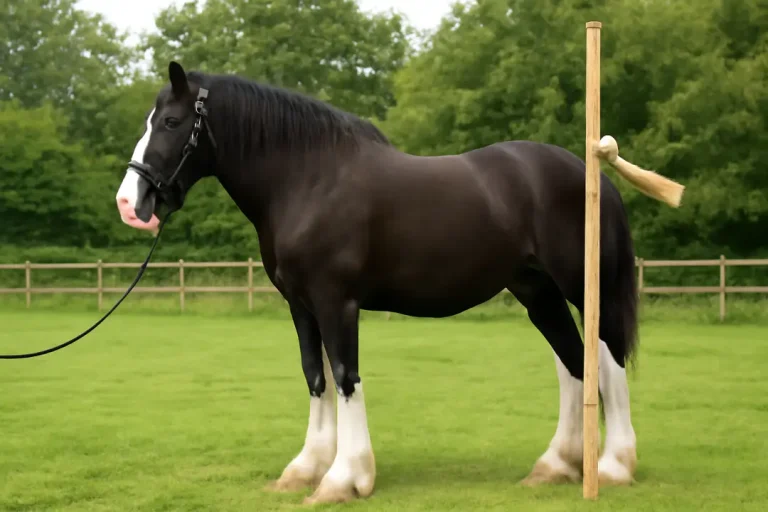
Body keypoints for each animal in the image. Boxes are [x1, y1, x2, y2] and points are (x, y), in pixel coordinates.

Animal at [115, 61, 659, 504]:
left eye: (170, 122)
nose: (129, 202)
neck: (309, 179)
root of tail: (591, 172)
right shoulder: (301, 305)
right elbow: (316, 377)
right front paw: (304, 469)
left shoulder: (337, 302)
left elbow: (345, 377)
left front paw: (344, 479)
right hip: (536, 292)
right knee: (572, 364)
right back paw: (556, 465)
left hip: (583, 288)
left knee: (607, 361)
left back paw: (613, 465)